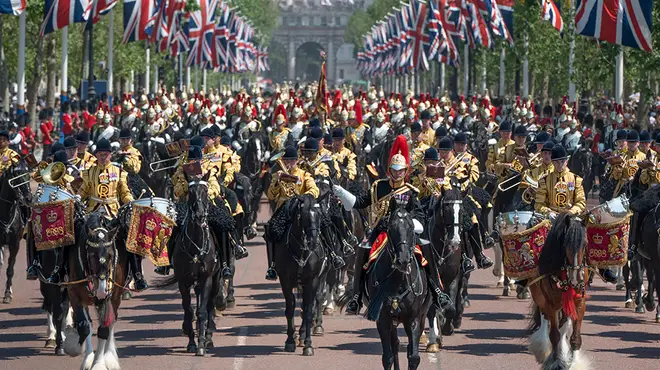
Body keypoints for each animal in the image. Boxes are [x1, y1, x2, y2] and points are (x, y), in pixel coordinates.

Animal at [63, 211, 127, 370]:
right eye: (91, 255)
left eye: (110, 255)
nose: (101, 290)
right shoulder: (74, 294)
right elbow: (85, 326)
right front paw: (78, 351)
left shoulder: (109, 297)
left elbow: (104, 328)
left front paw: (99, 363)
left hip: (114, 298)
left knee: (111, 321)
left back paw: (109, 357)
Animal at [155, 175, 224, 356]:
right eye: (190, 192)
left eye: (205, 191)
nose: (199, 215)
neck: (195, 245)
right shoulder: (183, 281)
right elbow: (188, 310)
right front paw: (192, 342)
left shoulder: (206, 278)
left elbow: (202, 311)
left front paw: (201, 344)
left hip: (215, 279)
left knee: (209, 306)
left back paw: (208, 337)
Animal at [274, 194, 324, 356]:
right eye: (304, 216)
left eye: (320, 214)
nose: (313, 242)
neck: (301, 250)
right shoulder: (285, 281)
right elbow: (290, 308)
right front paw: (290, 341)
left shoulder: (313, 281)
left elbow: (308, 311)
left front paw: (308, 345)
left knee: (309, 305)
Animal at [364, 197, 430, 370]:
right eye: (391, 227)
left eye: (411, 227)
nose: (403, 260)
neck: (398, 281)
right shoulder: (383, 319)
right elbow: (387, 357)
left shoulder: (414, 319)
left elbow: (413, 357)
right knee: (395, 345)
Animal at [524, 214, 592, 370]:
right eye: (566, 244)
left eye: (585, 243)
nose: (576, 280)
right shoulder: (551, 304)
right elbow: (554, 335)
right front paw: (555, 361)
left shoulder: (579, 302)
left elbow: (574, 337)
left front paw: (573, 363)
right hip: (540, 296)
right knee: (545, 318)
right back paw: (543, 349)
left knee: (564, 325)